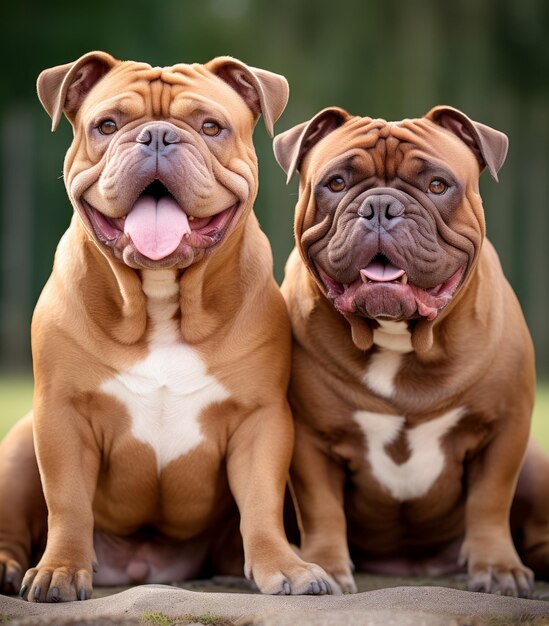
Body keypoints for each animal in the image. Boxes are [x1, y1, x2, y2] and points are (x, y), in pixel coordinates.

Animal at [0, 52, 338, 600]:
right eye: (106, 125)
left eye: (211, 127)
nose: (157, 136)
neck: (160, 299)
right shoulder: (61, 415)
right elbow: (67, 501)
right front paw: (61, 570)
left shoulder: (261, 419)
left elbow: (261, 502)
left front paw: (285, 567)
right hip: (19, 448)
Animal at [272, 106, 548, 596]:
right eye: (335, 183)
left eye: (438, 185)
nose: (381, 207)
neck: (401, 340)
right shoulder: (310, 439)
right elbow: (321, 506)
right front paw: (327, 565)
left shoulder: (506, 427)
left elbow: (491, 500)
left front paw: (497, 568)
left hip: (535, 467)